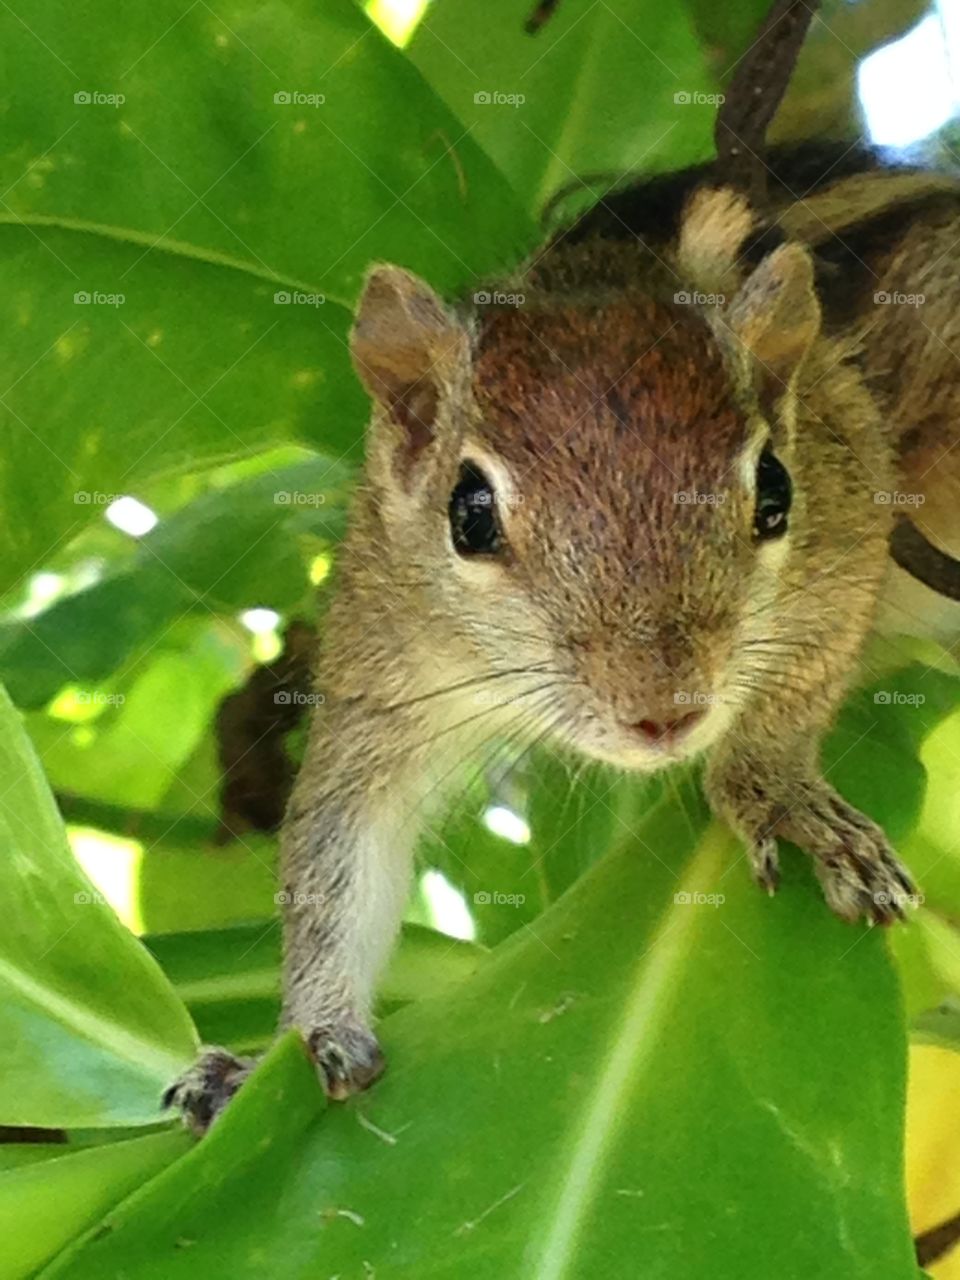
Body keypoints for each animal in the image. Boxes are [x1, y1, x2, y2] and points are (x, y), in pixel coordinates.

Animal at [166, 0, 960, 1130]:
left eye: (775, 493)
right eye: (468, 514)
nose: (664, 712)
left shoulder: (852, 509)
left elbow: (800, 678)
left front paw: (770, 787)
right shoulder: (384, 643)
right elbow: (341, 842)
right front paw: (289, 1039)